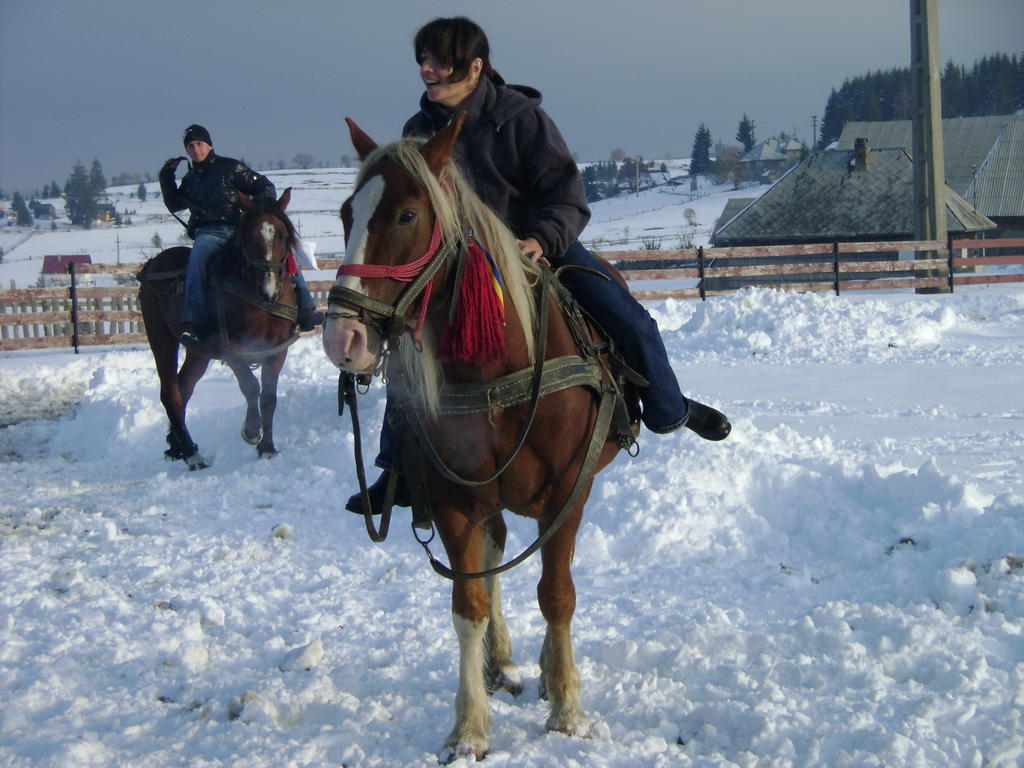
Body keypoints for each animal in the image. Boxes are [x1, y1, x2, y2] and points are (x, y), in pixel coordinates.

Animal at [144, 189, 303, 473]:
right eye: (249, 237)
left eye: (283, 236)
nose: (269, 290)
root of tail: (152, 263)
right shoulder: (230, 348)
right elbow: (250, 386)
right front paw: (251, 431)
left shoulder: (276, 349)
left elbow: (269, 397)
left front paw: (267, 448)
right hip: (161, 338)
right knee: (170, 392)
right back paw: (191, 454)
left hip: (198, 352)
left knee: (184, 388)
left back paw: (178, 446)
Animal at [323, 117, 634, 761]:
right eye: (346, 213)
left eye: (407, 215)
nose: (343, 339)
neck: (498, 374)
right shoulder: (454, 502)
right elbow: (468, 605)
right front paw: (469, 727)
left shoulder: (567, 494)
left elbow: (557, 593)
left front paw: (568, 710)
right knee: (495, 558)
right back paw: (502, 660)